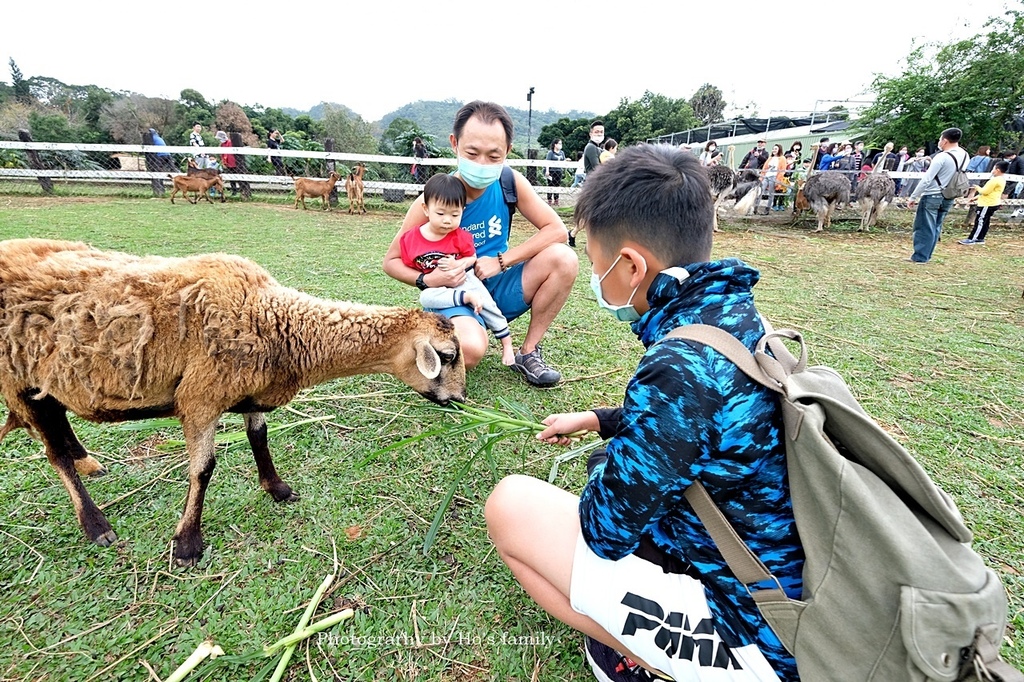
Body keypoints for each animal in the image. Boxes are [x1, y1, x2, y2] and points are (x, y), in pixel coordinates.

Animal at [0, 236, 464, 565]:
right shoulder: (200, 396)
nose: (459, 399)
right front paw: (187, 544)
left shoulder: (250, 393)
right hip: (18, 377)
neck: (277, 322)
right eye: (447, 356)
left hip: (49, 381)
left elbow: (260, 439)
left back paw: (88, 462)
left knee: (60, 427)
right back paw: (95, 523)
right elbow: (203, 469)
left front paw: (278, 489)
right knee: (55, 454)